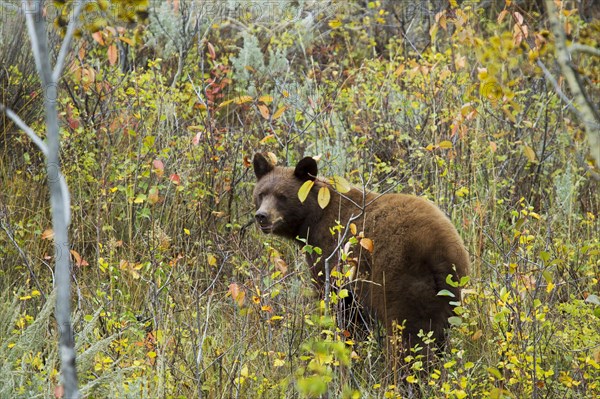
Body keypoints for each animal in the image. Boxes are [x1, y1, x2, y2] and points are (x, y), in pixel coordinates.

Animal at [251, 154, 472, 360]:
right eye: (261, 194)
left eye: (282, 196)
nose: (262, 216)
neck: (314, 218)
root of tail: (442, 250)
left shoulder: (333, 255)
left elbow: (341, 307)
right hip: (450, 293)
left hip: (401, 280)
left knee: (408, 334)